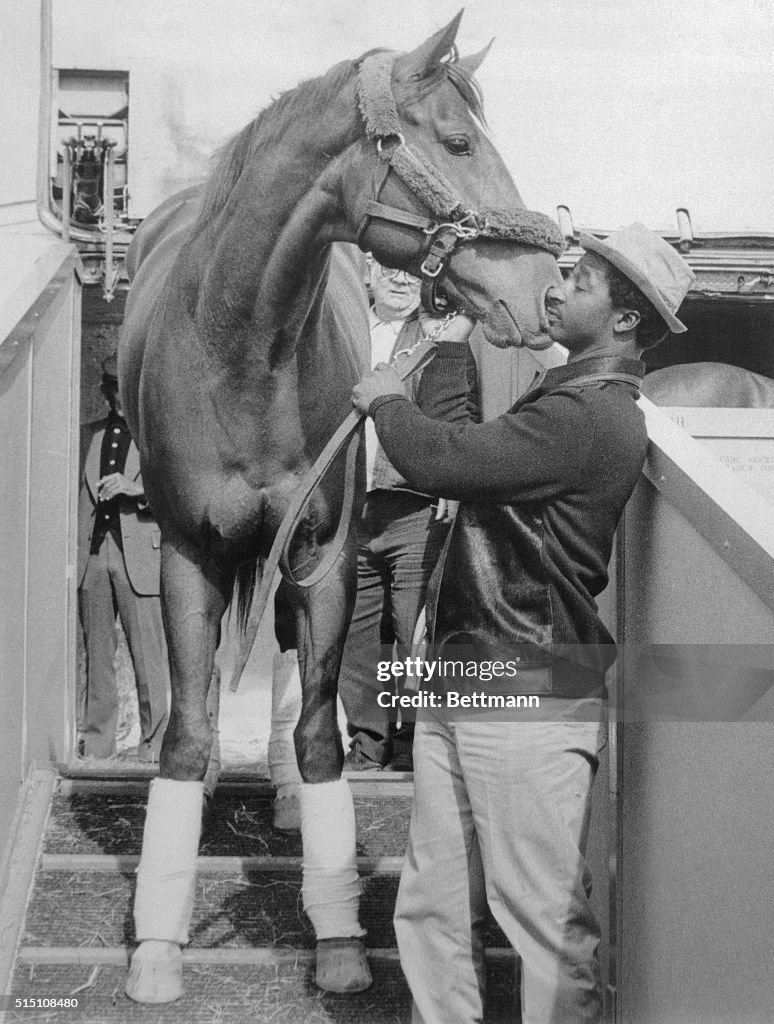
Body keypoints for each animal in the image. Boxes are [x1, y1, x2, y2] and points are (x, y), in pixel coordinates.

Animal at [119, 12, 564, 1003]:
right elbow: (187, 734)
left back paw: (285, 796)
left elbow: (322, 731)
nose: (542, 293)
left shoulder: (321, 557)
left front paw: (337, 938)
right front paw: (158, 948)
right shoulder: (187, 555)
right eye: (460, 142)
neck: (239, 348)